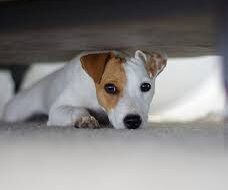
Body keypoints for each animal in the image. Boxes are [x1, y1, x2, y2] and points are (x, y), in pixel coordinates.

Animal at [2, 50, 167, 129]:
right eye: (110, 88)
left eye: (145, 86)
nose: (133, 121)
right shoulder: (57, 109)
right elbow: (77, 109)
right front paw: (85, 119)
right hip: (16, 113)